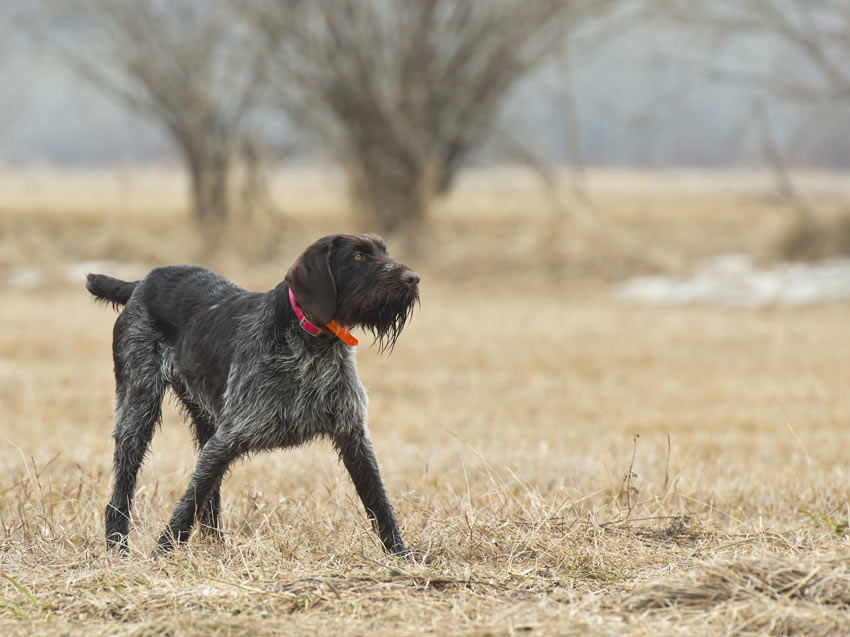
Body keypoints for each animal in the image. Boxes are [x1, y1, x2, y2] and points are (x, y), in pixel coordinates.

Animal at [85, 235, 418, 556]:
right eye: (358, 256)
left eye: (384, 252)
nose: (413, 278)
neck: (311, 343)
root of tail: (140, 283)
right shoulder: (227, 438)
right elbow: (190, 502)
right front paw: (161, 554)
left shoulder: (353, 436)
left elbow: (378, 502)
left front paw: (401, 557)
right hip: (138, 409)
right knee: (121, 494)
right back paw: (117, 547)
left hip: (204, 418)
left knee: (209, 502)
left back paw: (216, 548)